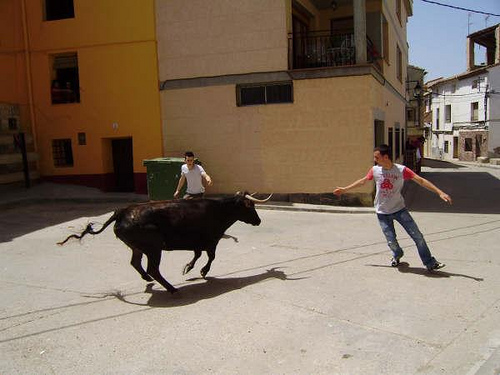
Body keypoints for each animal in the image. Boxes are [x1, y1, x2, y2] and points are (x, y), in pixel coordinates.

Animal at [56, 192, 272, 296]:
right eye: (250, 206)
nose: (259, 221)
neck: (219, 210)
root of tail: (122, 211)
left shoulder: (198, 242)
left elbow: (197, 254)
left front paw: (188, 268)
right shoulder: (212, 241)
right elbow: (210, 256)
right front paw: (202, 271)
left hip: (138, 247)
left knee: (136, 263)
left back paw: (147, 280)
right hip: (153, 248)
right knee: (153, 268)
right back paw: (171, 289)